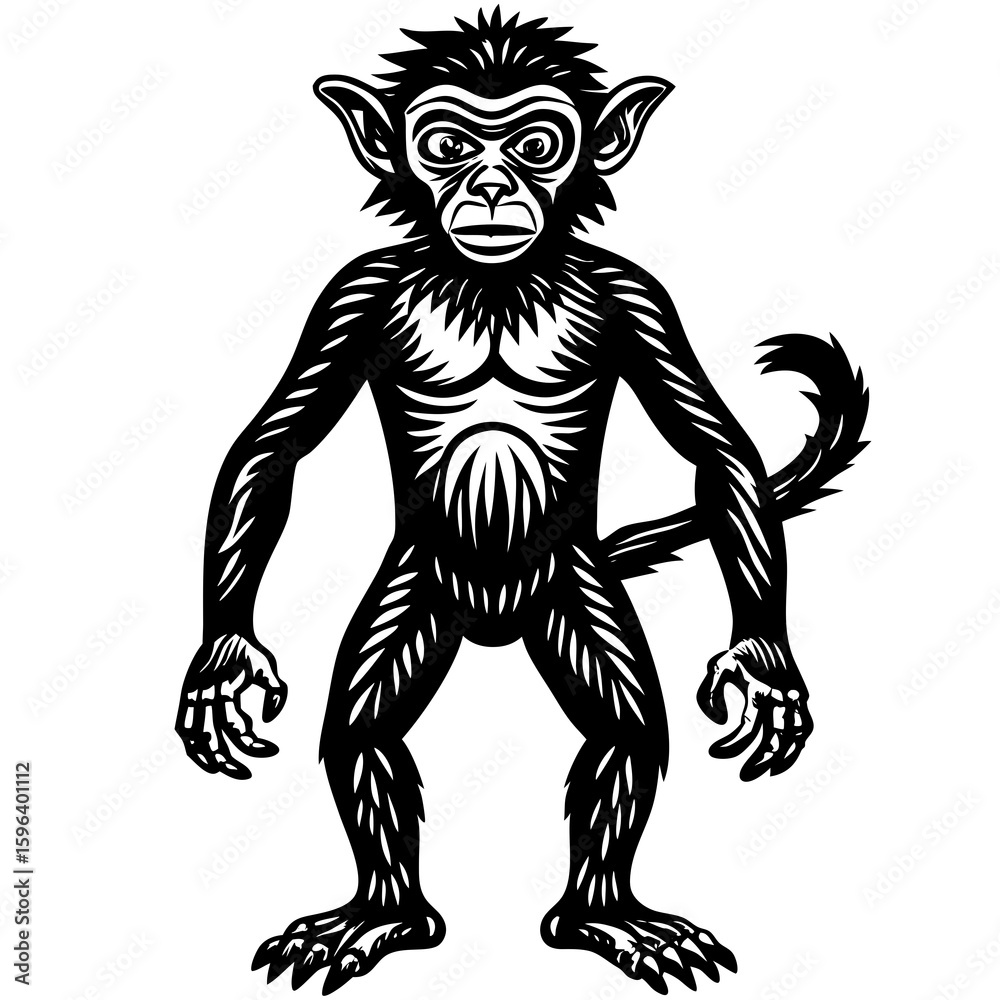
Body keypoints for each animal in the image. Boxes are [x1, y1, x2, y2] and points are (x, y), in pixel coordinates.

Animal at [175, 10, 868, 995]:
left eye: (538, 145)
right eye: (449, 146)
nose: (495, 183)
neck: (499, 283)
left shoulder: (639, 295)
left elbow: (714, 449)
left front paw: (762, 660)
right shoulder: (349, 293)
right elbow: (276, 447)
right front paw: (226, 655)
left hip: (571, 588)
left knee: (624, 732)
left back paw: (601, 914)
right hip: (419, 587)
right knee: (364, 733)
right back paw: (385, 914)